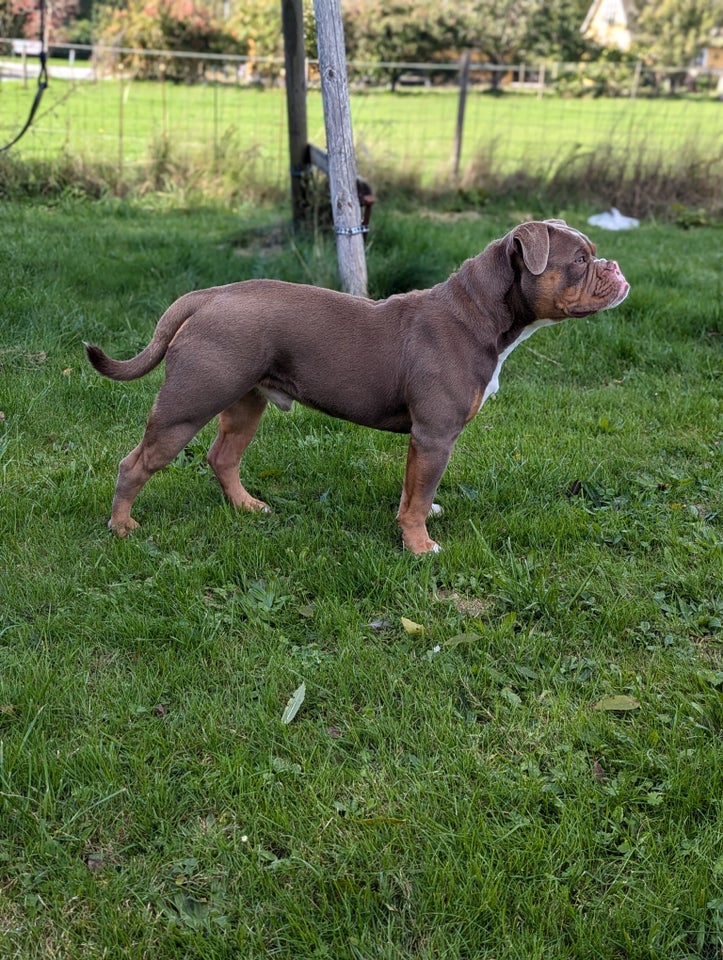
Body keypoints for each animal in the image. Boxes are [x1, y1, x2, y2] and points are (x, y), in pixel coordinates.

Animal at [85, 217, 628, 548]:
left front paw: (415, 525)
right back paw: (122, 525)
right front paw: (419, 546)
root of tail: (208, 295)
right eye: (580, 261)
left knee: (223, 457)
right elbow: (419, 494)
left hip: (245, 401)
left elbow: (414, 492)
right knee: (136, 463)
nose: (616, 266)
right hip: (188, 404)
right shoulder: (436, 436)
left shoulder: (423, 441)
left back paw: (247, 507)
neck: (481, 312)